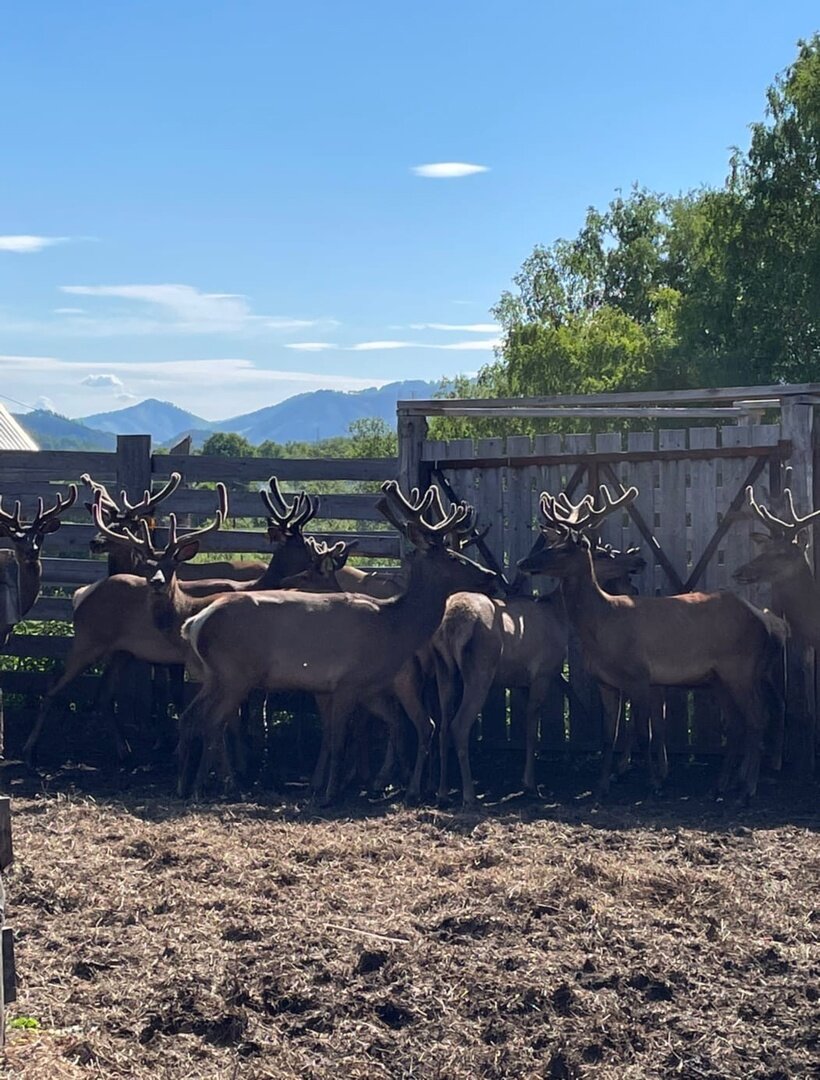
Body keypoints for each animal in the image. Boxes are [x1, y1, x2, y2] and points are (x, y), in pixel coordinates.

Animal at [179, 481, 501, 803]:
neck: (393, 628)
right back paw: (209, 786)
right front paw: (329, 794)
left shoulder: (366, 689)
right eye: (453, 557)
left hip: (214, 676)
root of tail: (196, 624)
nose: (490, 574)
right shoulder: (347, 681)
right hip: (236, 673)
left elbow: (363, 734)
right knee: (212, 722)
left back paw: (192, 784)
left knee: (192, 717)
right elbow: (338, 741)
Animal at [518, 486, 790, 799]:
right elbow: (609, 736)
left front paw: (653, 783)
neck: (602, 623)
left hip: (741, 668)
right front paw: (601, 786)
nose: (523, 563)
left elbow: (643, 734)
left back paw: (747, 789)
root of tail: (762, 620)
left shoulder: (639, 675)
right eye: (551, 543)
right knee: (737, 724)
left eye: (564, 548)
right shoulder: (605, 682)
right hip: (719, 677)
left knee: (758, 717)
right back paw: (720, 785)